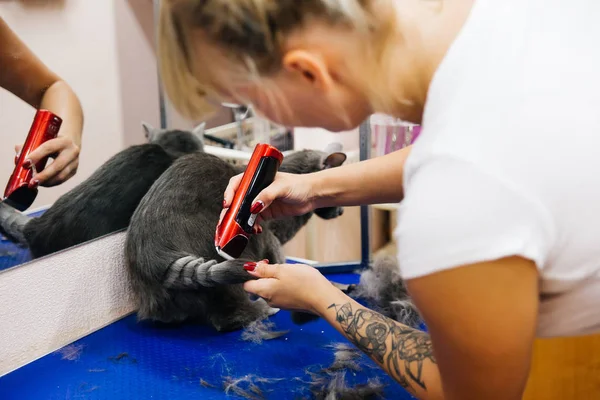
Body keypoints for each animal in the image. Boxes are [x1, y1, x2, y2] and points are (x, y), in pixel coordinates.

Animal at [124, 147, 344, 332]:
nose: (342, 211)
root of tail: (155, 255)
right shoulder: (270, 237)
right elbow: (280, 259)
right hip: (234, 253)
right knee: (228, 318)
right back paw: (262, 307)